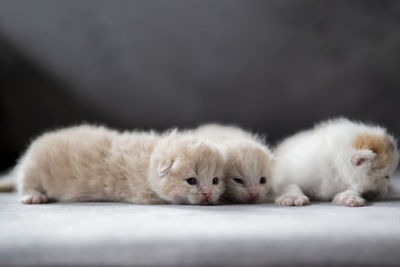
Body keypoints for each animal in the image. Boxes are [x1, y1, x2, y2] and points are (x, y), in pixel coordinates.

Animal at [2, 125, 225, 205]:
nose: (207, 193)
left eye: (215, 180)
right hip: (36, 165)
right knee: (27, 181)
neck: (149, 160)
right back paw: (33, 196)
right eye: (191, 180)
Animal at [272, 118, 400, 208]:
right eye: (386, 176)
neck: (335, 164)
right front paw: (291, 197)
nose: (385, 190)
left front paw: (349, 197)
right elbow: (289, 184)